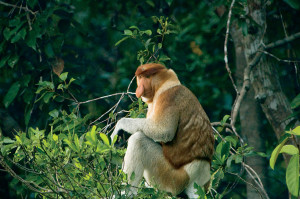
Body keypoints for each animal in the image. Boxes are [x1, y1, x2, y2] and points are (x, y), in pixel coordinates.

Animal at [111, 63, 214, 197]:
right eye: (140, 77)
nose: (139, 89)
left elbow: (163, 131)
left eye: (147, 77)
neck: (165, 85)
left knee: (139, 141)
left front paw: (119, 127)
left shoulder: (169, 97)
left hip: (172, 178)